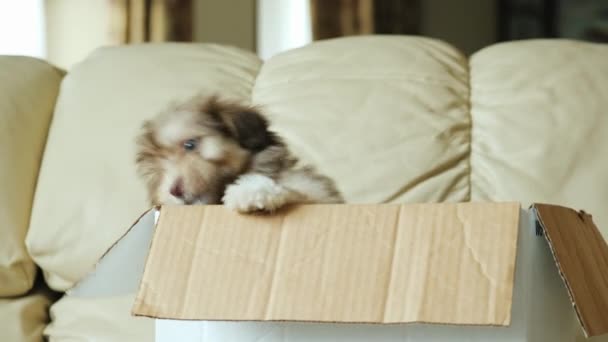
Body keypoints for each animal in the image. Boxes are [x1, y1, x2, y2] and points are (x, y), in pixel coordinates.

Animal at [134, 93, 342, 211]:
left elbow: (298, 193)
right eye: (160, 170)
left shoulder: (323, 197)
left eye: (190, 144)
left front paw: (250, 191)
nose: (173, 191)